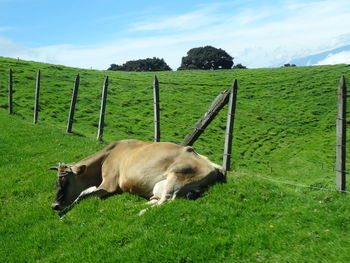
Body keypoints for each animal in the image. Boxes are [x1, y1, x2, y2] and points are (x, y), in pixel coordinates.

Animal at [49, 139, 226, 216]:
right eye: (56, 182)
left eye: (66, 181)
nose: (55, 205)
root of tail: (213, 166)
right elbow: (84, 192)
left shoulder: (110, 183)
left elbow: (83, 196)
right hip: (160, 186)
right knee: (157, 199)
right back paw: (133, 206)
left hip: (177, 176)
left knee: (166, 200)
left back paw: (140, 212)